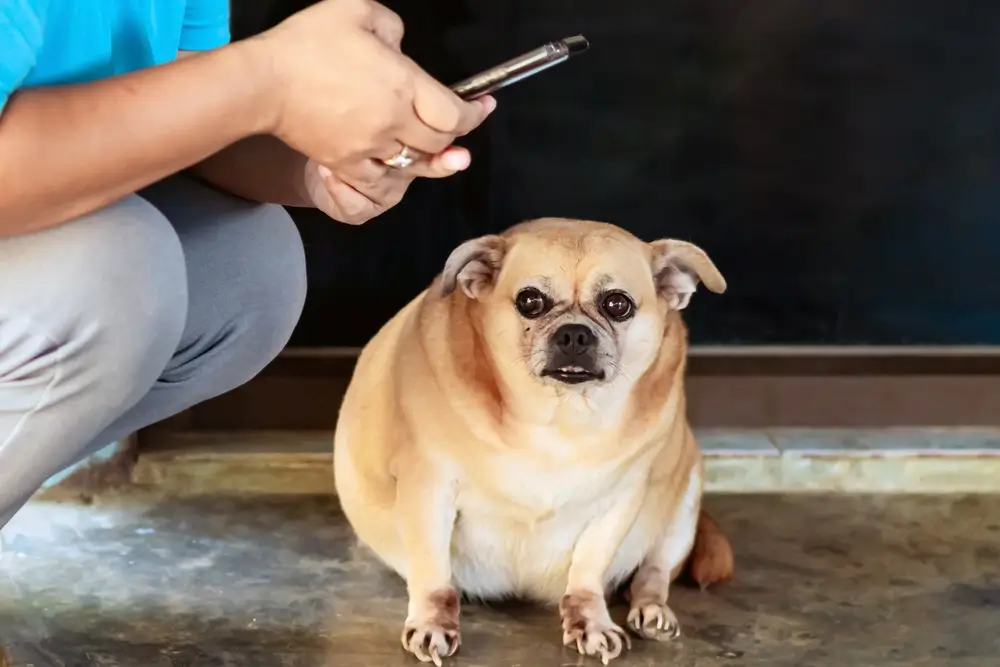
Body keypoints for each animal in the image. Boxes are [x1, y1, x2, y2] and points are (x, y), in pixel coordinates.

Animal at [336, 218, 736, 664]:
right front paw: (432, 623)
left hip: (686, 498)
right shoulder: (429, 489)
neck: (558, 419)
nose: (575, 334)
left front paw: (590, 621)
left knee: (654, 571)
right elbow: (434, 572)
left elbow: (589, 571)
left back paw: (652, 610)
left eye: (618, 305)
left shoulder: (619, 503)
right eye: (530, 301)